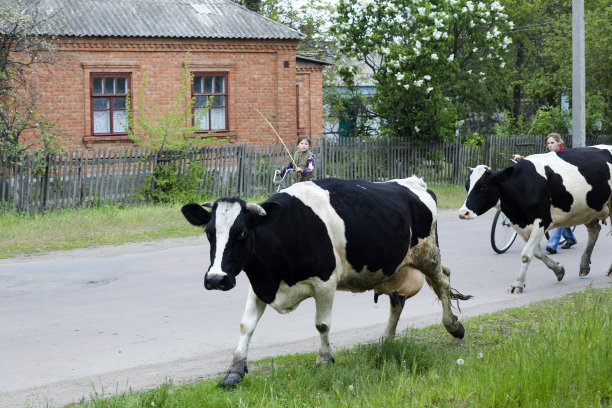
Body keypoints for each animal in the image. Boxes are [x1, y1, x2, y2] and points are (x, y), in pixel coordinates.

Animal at [182, 176, 468, 386]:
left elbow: (322, 325)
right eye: (209, 233)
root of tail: (414, 182)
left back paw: (453, 325)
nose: (216, 279)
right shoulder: (260, 286)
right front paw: (235, 370)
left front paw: (323, 360)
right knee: (398, 301)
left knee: (443, 283)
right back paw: (386, 338)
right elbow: (246, 325)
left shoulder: (325, 283)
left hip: (428, 254)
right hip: (395, 267)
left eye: (241, 233)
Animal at [460, 145, 612, 292]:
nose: (463, 213)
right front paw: (558, 270)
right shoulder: (520, 224)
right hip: (588, 210)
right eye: (466, 186)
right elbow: (537, 253)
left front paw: (518, 284)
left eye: (483, 187)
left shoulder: (542, 220)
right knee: (594, 231)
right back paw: (584, 266)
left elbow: (526, 254)